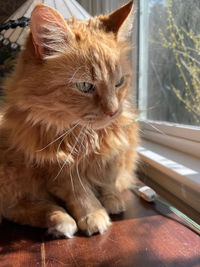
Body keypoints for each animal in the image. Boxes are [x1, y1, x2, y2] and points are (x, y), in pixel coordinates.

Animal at [0, 0, 138, 239]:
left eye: (119, 82)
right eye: (84, 86)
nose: (113, 111)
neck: (86, 135)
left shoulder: (114, 151)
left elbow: (109, 179)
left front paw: (112, 200)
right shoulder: (56, 167)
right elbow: (81, 194)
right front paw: (94, 214)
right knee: (15, 209)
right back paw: (59, 220)